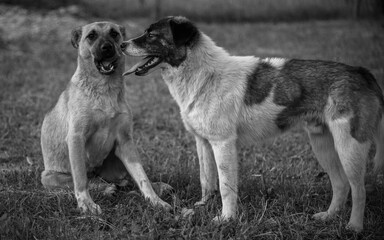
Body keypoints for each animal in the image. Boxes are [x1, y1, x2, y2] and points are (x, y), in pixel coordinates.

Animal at [40, 22, 171, 214]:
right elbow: (80, 178)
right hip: (50, 177)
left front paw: (155, 200)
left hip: (120, 159)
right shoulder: (76, 138)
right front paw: (86, 204)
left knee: (127, 179)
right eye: (91, 36)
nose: (107, 48)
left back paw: (156, 186)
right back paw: (105, 188)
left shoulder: (125, 141)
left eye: (114, 34)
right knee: (89, 180)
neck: (104, 90)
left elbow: (142, 177)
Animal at [121, 15, 384, 232]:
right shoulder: (203, 142)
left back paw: (354, 227)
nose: (121, 44)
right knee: (341, 185)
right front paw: (204, 206)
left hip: (349, 146)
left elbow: (226, 186)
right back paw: (329, 217)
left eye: (152, 35)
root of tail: (361, 72)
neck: (203, 74)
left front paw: (226, 219)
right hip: (323, 145)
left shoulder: (223, 143)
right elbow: (206, 179)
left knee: (358, 189)